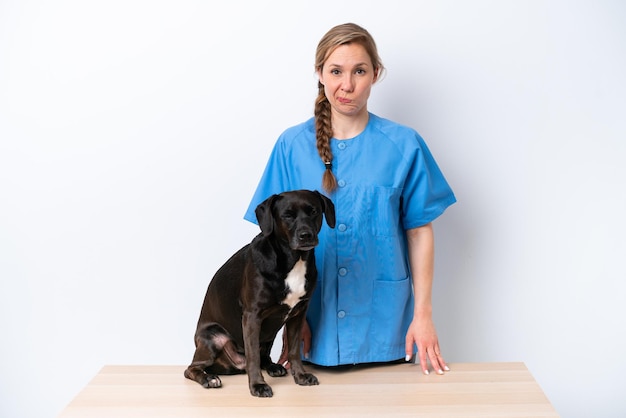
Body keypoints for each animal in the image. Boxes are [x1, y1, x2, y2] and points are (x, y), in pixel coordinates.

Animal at [183, 189, 334, 398]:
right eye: (287, 215)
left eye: (313, 212)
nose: (306, 235)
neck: (293, 260)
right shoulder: (252, 316)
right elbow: (253, 355)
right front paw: (257, 385)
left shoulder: (298, 314)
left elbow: (294, 350)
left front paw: (300, 375)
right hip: (213, 338)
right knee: (191, 368)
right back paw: (208, 378)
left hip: (269, 336)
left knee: (264, 356)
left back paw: (273, 367)